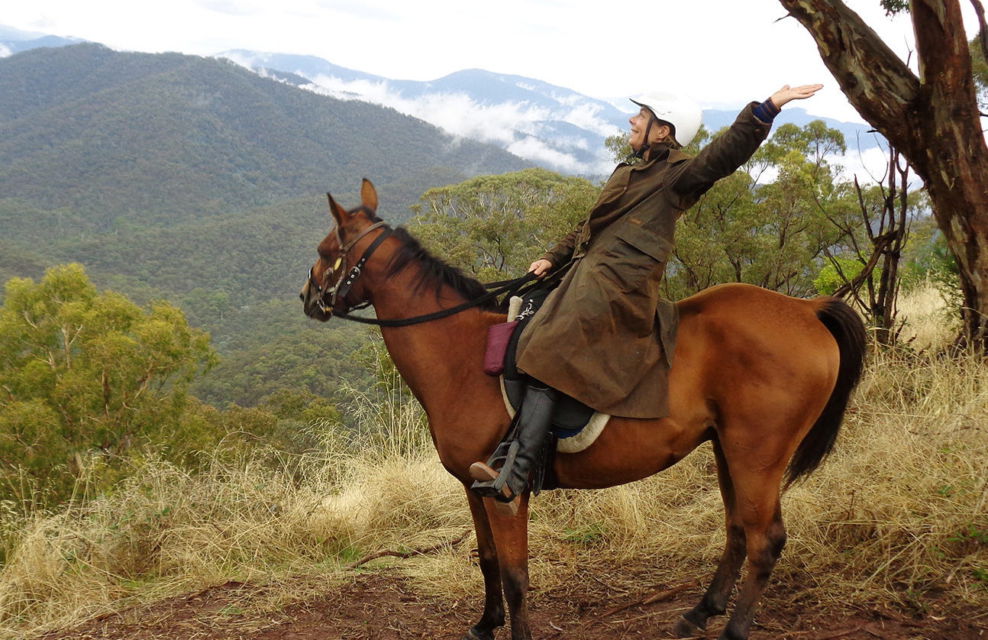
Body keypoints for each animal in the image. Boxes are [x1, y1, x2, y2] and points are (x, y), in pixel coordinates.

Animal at [300, 179, 866, 640]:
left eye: (327, 249)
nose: (307, 296)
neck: (462, 355)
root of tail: (806, 310)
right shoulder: (471, 484)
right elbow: (487, 560)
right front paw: (485, 624)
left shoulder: (504, 496)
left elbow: (516, 576)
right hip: (728, 450)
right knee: (738, 530)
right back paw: (699, 613)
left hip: (757, 454)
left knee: (766, 539)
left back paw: (733, 629)